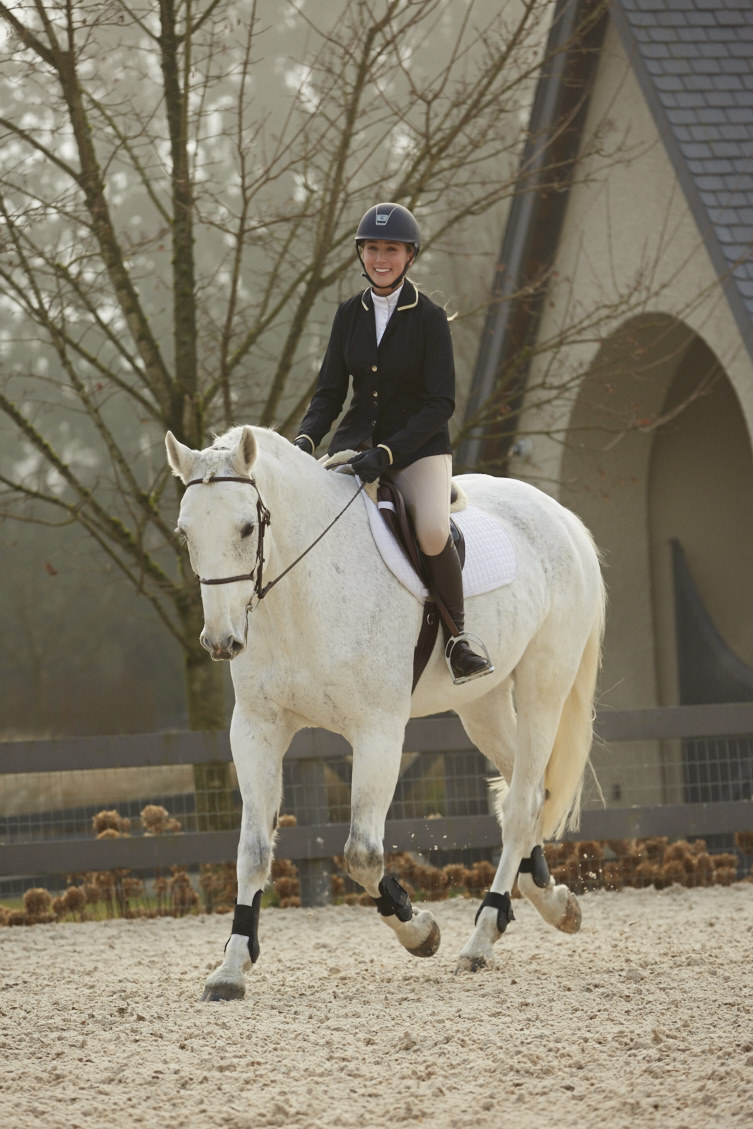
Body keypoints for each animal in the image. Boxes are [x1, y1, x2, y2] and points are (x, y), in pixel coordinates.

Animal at [165, 425, 606, 1000]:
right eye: (185, 534)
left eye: (246, 526)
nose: (221, 642)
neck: (301, 592)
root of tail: (561, 516)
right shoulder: (257, 730)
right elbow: (254, 850)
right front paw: (232, 967)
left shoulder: (378, 732)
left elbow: (361, 854)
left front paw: (420, 930)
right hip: (480, 705)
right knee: (525, 793)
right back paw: (552, 902)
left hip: (542, 687)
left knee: (524, 800)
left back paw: (482, 936)